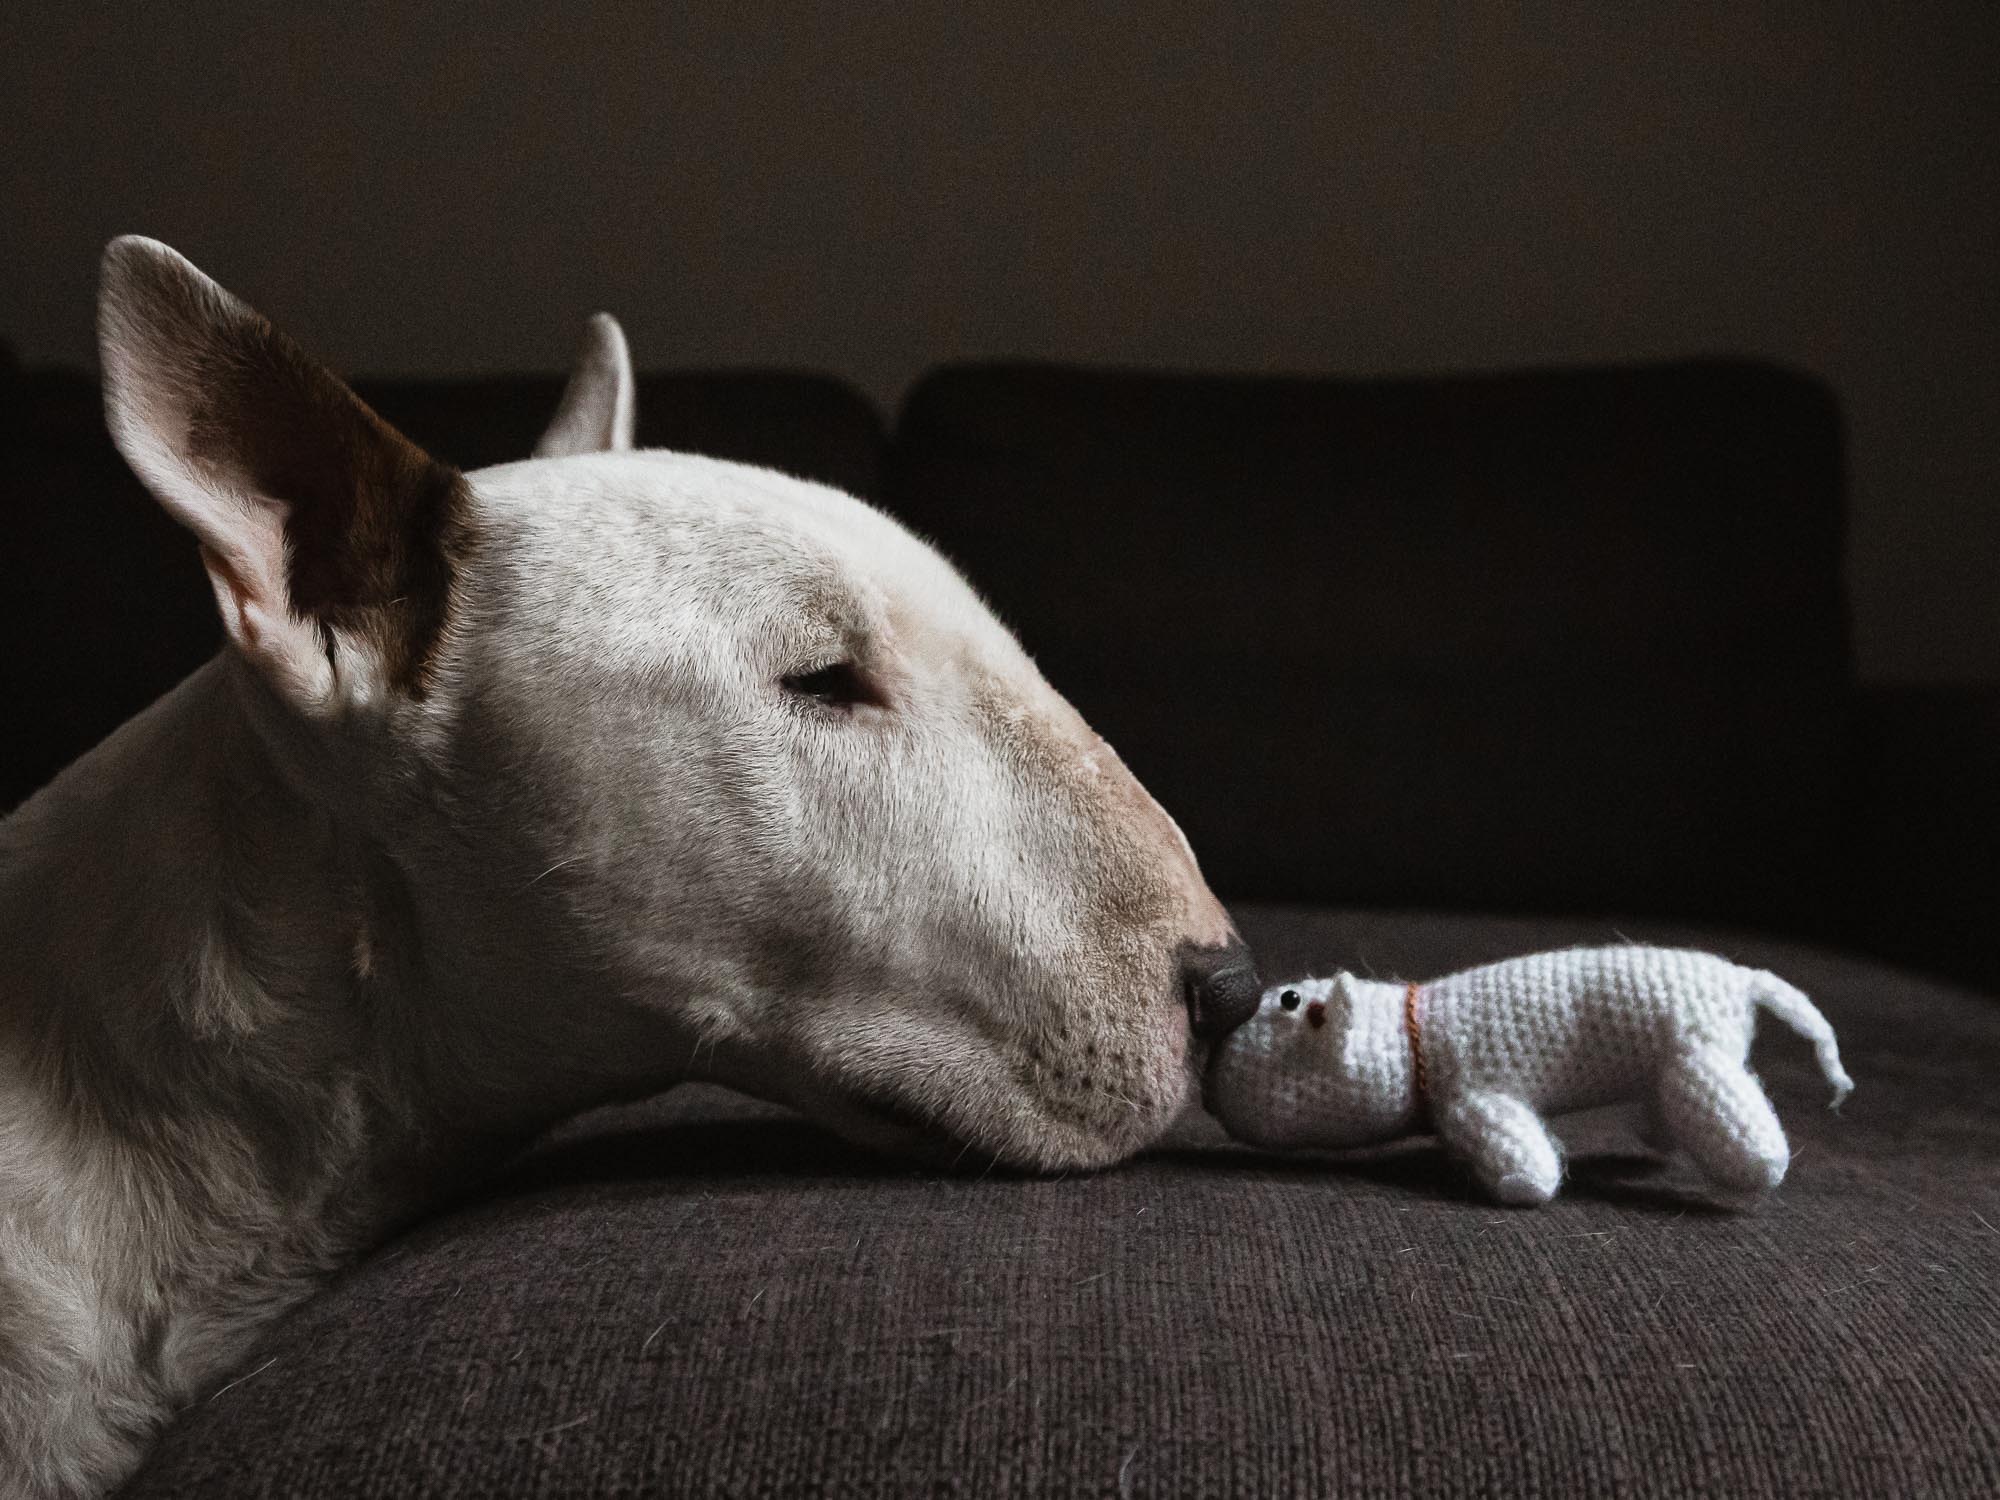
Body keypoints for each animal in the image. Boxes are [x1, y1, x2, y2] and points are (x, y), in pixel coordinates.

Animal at [1192, 952, 1848, 1208]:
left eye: (1288, 1000)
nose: (1206, 1081)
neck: (1411, 1037)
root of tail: (1743, 978)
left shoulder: (1476, 1100)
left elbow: (1524, 1159)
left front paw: (1518, 1183)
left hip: (1699, 1058)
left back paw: (1758, 1165)